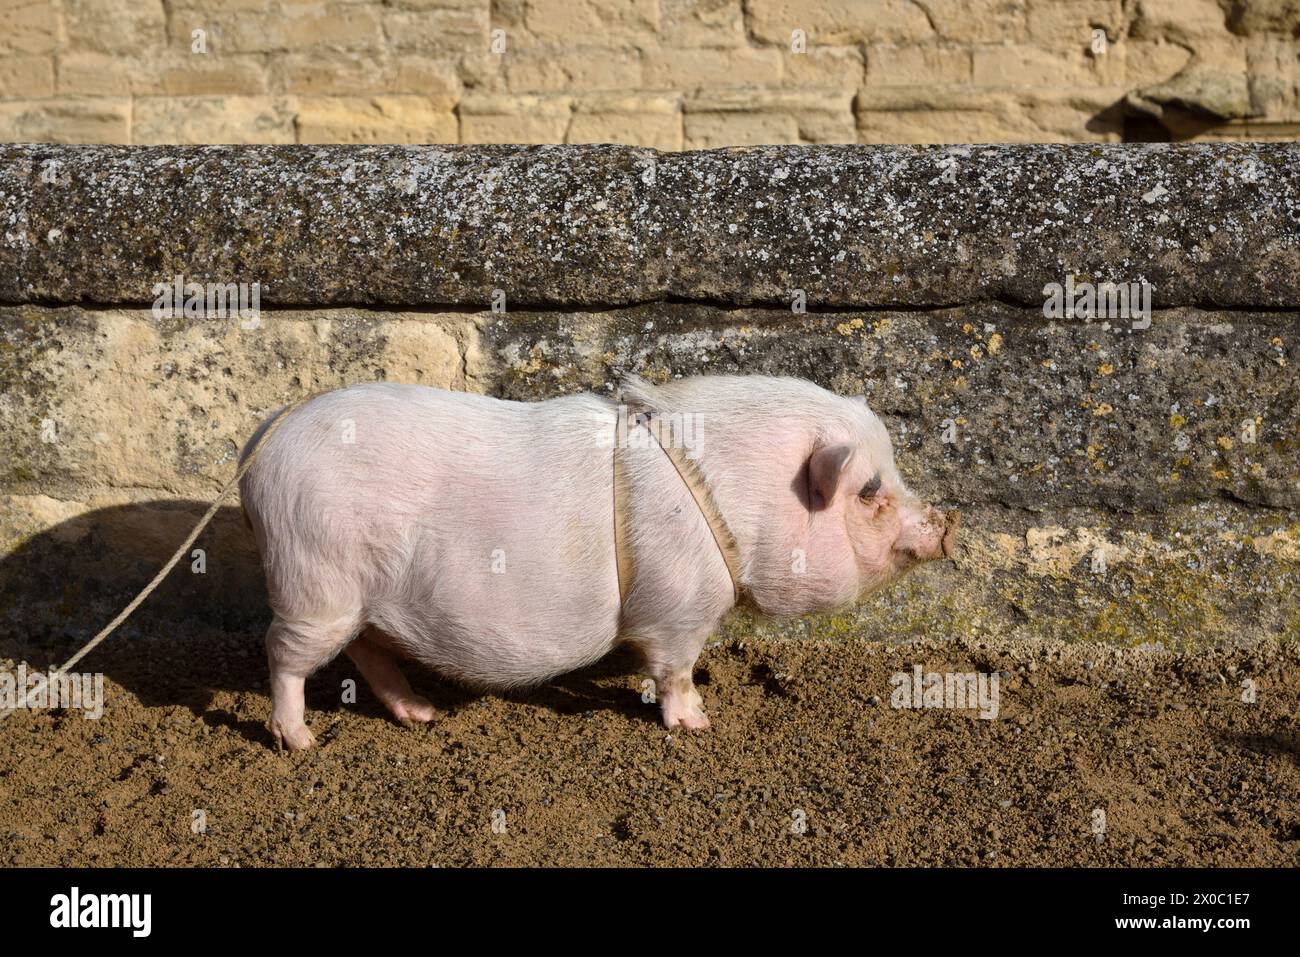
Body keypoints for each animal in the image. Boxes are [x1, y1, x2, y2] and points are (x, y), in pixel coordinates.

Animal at [238, 375, 956, 750]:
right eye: (869, 489)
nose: (947, 524)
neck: (737, 502)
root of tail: (262, 443)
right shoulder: (677, 607)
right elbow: (673, 669)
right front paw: (698, 723)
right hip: (312, 578)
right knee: (281, 655)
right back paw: (299, 741)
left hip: (353, 597)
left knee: (367, 652)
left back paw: (421, 714)